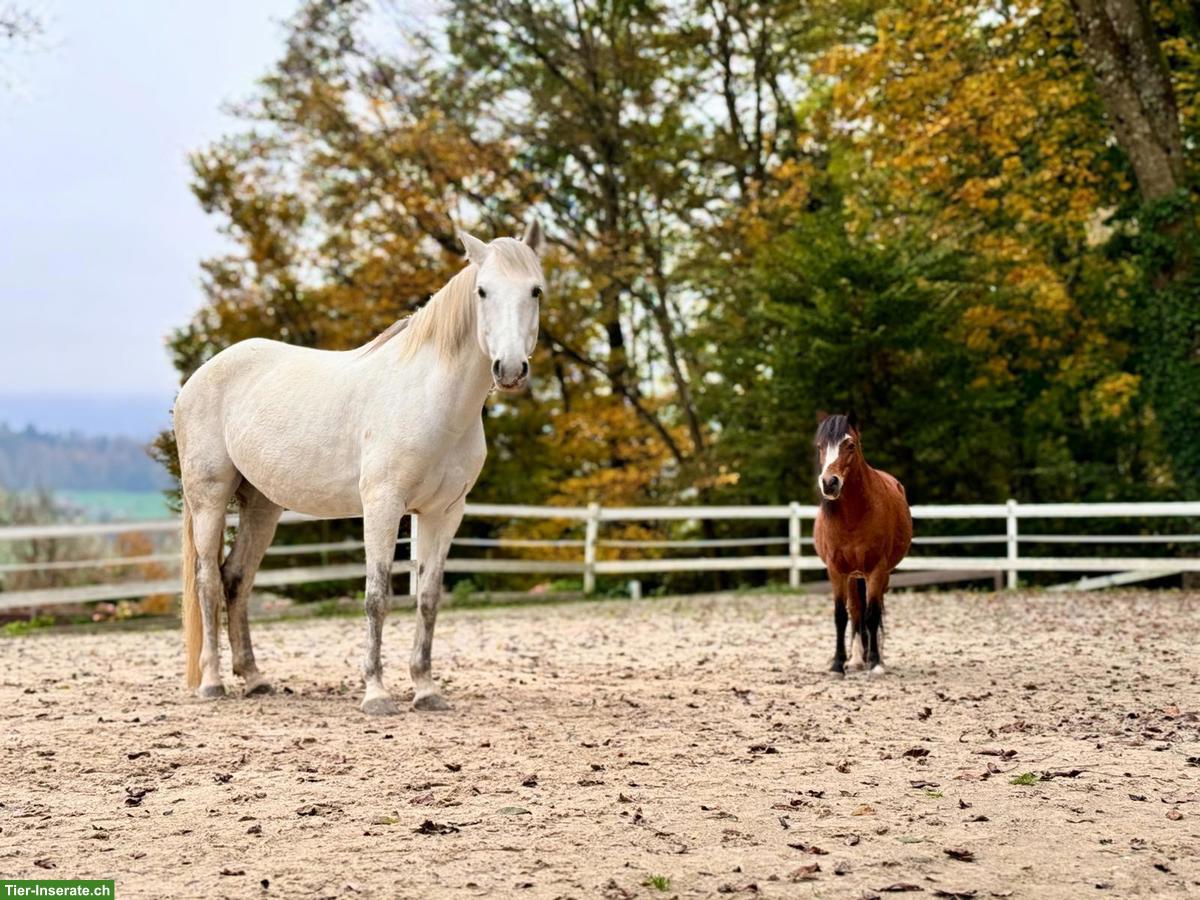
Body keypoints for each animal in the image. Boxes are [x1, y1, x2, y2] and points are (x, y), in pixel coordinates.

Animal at [174, 222, 546, 714]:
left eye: (535, 290)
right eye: (482, 291)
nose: (510, 369)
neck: (431, 400)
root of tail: (199, 377)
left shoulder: (445, 513)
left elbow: (428, 598)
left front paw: (426, 689)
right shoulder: (383, 506)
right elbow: (377, 596)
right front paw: (376, 693)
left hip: (262, 506)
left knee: (237, 579)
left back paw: (254, 679)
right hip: (209, 499)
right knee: (208, 583)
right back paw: (213, 683)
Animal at [811, 413, 912, 677]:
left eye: (850, 445)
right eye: (820, 446)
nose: (829, 483)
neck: (853, 516)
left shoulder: (877, 569)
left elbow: (873, 614)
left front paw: (875, 663)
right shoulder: (836, 570)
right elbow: (841, 615)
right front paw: (837, 664)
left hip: (878, 574)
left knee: (870, 612)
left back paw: (870, 658)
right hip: (853, 576)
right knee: (856, 611)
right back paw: (856, 659)